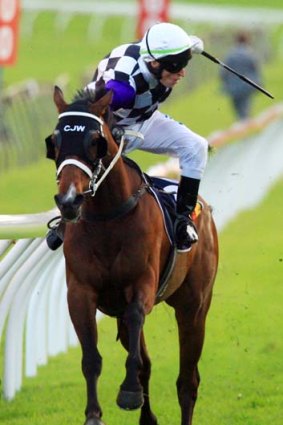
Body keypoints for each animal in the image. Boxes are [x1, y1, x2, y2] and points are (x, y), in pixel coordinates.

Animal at [46, 86, 220, 424]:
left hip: (194, 306)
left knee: (188, 381)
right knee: (145, 363)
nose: (69, 200)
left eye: (94, 141)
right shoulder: (80, 292)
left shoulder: (142, 284)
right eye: (55, 142)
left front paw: (127, 392)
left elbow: (138, 314)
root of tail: (204, 210)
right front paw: (94, 414)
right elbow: (92, 357)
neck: (107, 217)